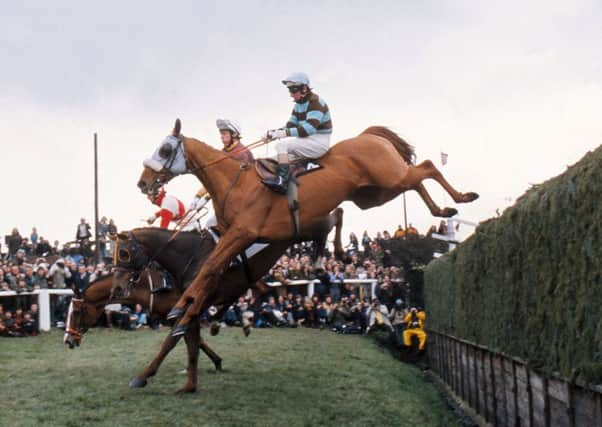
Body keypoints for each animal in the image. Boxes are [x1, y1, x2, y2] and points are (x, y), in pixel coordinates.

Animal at [137, 119, 478, 334]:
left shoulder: (240, 234)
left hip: (389, 179)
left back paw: (460, 198)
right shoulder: (235, 238)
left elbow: (210, 267)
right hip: (375, 193)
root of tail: (369, 136)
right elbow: (225, 272)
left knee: (427, 168)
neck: (236, 183)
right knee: (389, 192)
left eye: (165, 149)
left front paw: (181, 308)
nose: (143, 183)